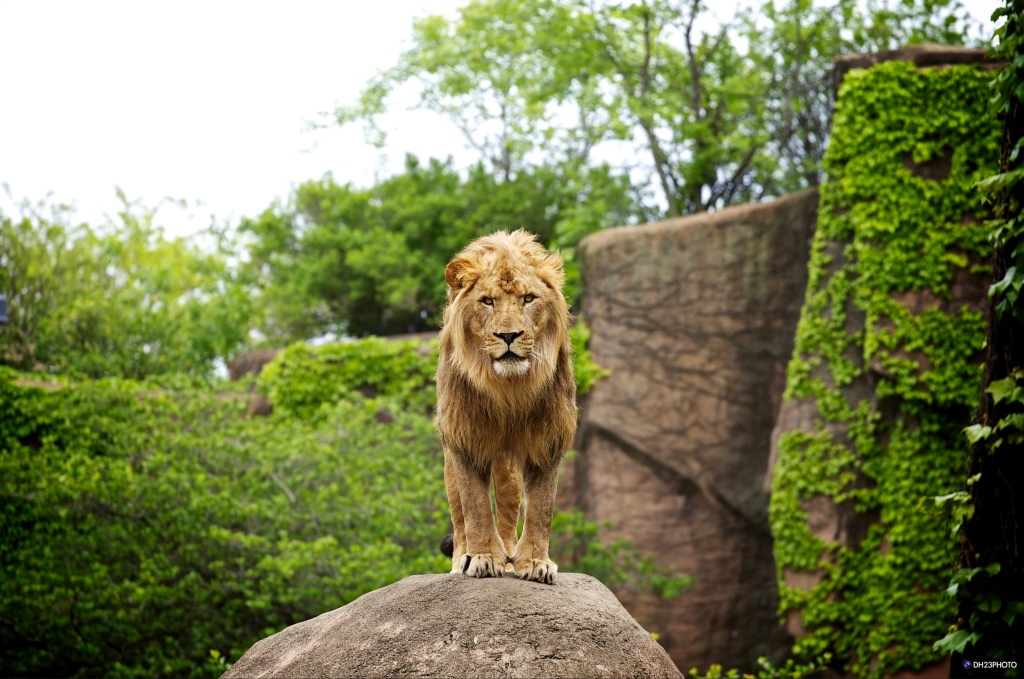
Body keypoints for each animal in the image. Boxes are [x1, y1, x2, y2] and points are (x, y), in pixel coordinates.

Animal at [435, 229, 577, 584]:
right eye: (487, 301)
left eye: (528, 298)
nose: (509, 335)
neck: (508, 390)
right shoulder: (463, 436)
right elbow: (474, 505)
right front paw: (483, 558)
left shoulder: (548, 438)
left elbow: (542, 507)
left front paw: (536, 562)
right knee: (459, 515)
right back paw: (462, 558)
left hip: (508, 464)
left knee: (510, 508)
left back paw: (511, 554)